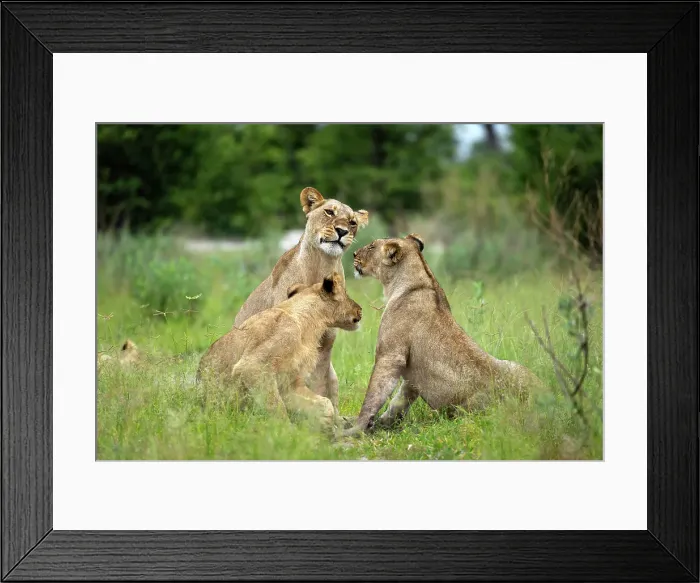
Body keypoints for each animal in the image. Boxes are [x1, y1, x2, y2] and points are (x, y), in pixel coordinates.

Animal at [200, 272, 363, 429]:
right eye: (346, 293)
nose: (360, 309)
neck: (308, 321)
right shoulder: (253, 367)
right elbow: (276, 405)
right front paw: (285, 431)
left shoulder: (289, 382)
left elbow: (324, 402)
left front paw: (325, 422)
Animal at [233, 187, 369, 416]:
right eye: (329, 212)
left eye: (352, 222)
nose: (342, 231)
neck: (321, 265)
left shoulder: (326, 343)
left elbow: (318, 382)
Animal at [343, 234, 542, 436]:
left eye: (371, 246)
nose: (353, 254)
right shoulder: (413, 372)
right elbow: (399, 401)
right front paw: (378, 423)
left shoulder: (391, 355)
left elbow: (374, 394)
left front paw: (356, 428)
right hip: (516, 366)